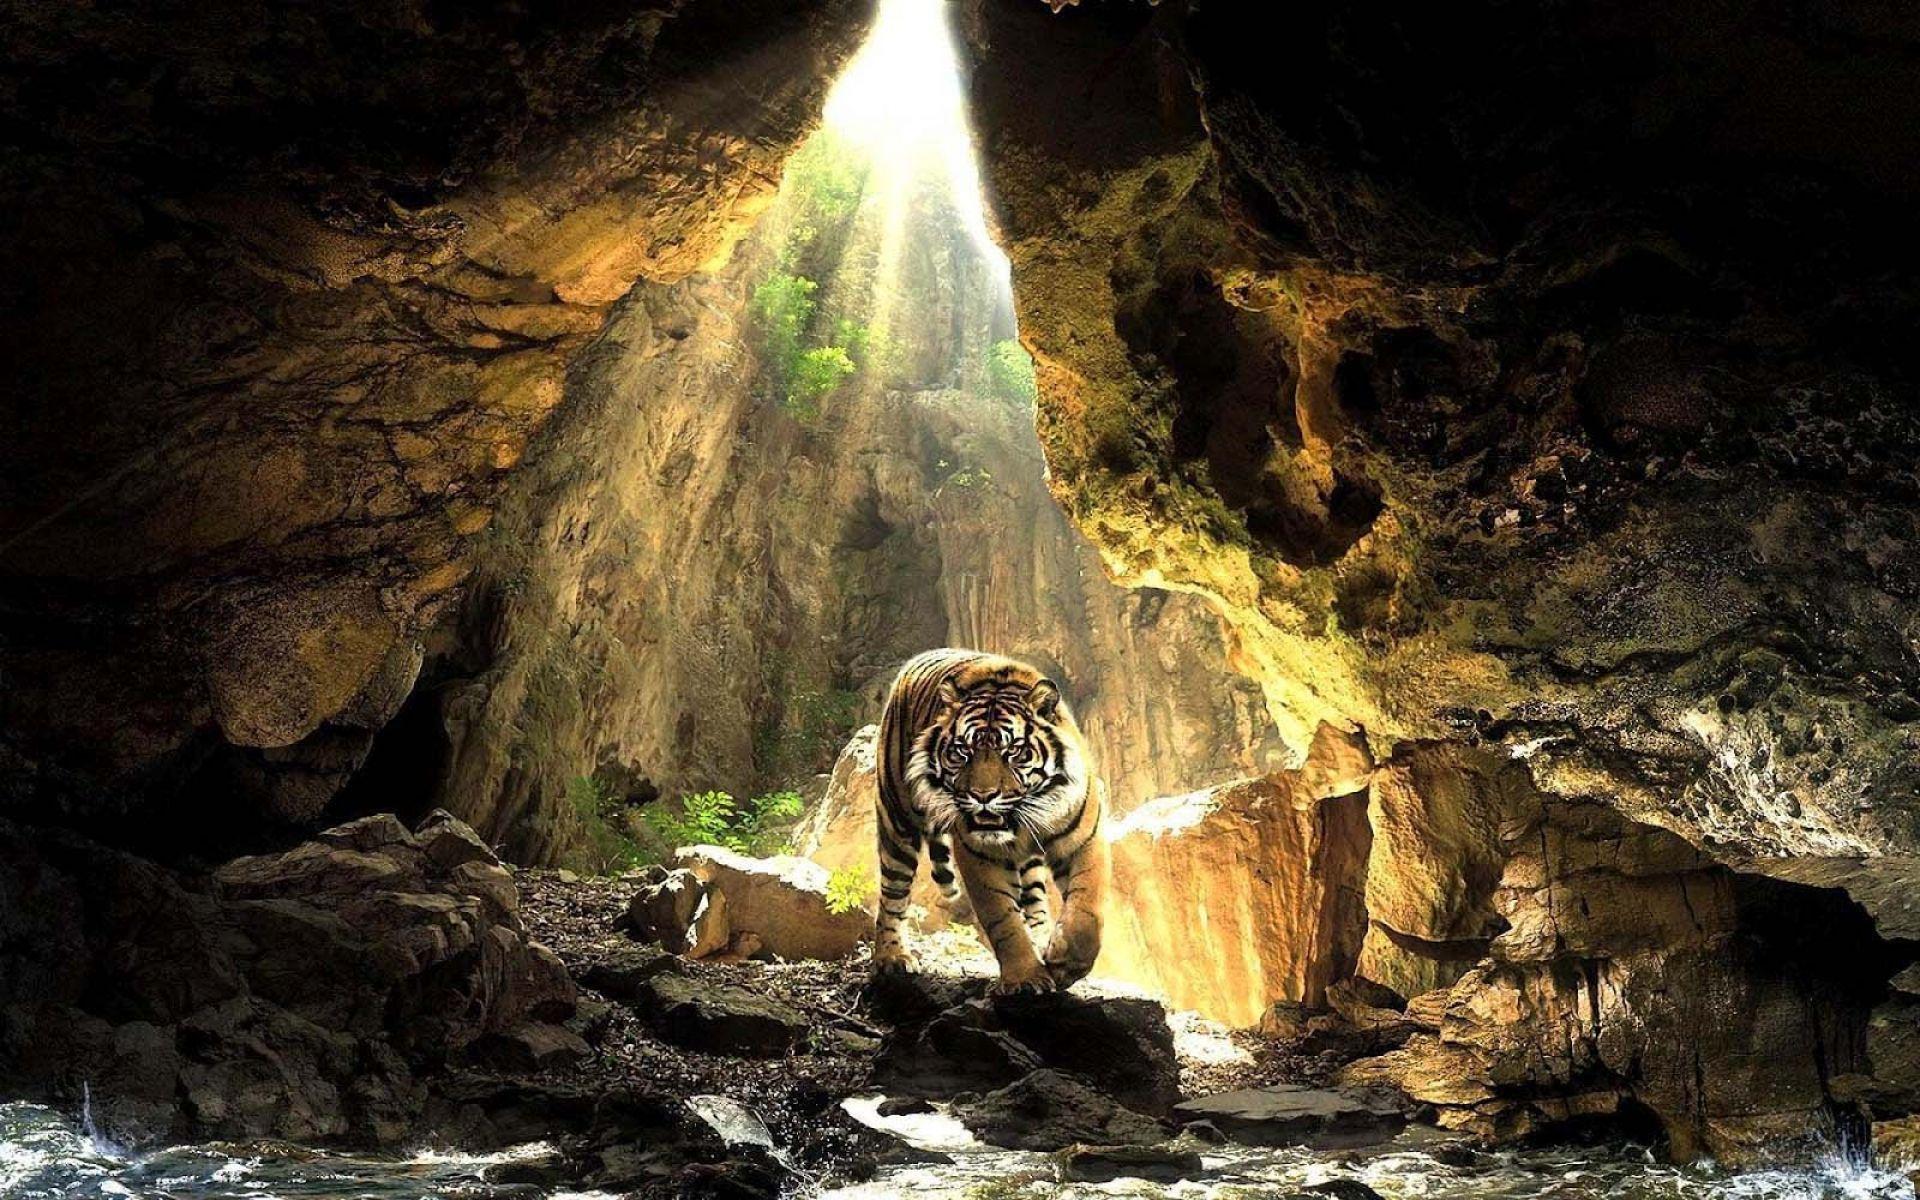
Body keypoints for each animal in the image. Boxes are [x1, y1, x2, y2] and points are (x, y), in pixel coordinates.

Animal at [871, 648, 1108, 994]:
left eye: (1014, 752)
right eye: (962, 752)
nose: (982, 796)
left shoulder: (1085, 838)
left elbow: (1087, 906)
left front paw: (1065, 963)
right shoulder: (980, 854)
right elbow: (1002, 919)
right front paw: (1025, 977)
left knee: (1034, 896)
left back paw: (1041, 937)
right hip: (896, 820)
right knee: (893, 894)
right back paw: (891, 957)